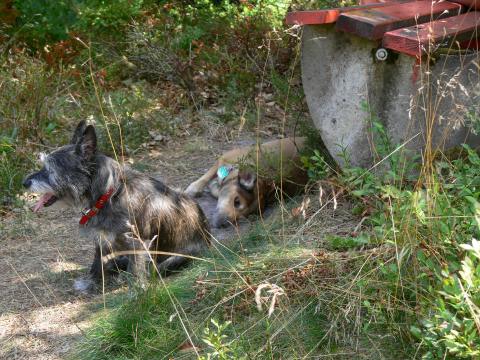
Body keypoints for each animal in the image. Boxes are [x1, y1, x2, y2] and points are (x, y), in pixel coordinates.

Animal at [22, 121, 210, 292]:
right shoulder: (102, 239)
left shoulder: (137, 244)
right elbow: (98, 262)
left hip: (174, 258)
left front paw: (137, 291)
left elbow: (136, 270)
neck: (109, 194)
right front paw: (92, 282)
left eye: (50, 170)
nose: (24, 183)